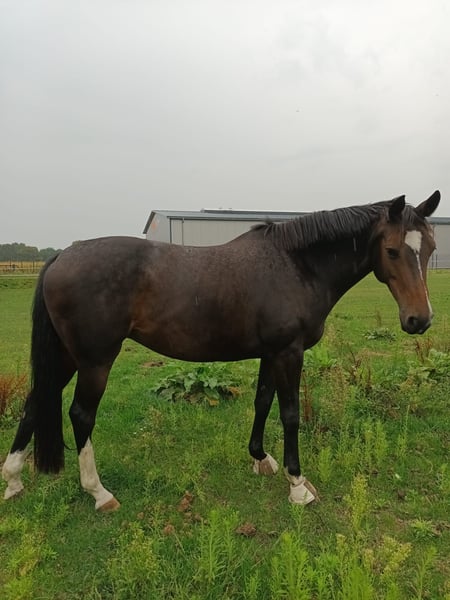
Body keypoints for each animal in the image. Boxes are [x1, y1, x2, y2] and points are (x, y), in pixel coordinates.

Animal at [2, 190, 440, 510]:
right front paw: (298, 485)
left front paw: (260, 459)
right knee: (80, 414)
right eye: (392, 250)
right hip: (95, 360)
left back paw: (13, 479)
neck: (295, 266)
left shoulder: (271, 353)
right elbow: (290, 414)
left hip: (66, 356)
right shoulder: (289, 353)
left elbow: (262, 402)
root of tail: (62, 255)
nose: (419, 320)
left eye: (431, 248)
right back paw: (99, 493)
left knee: (35, 402)